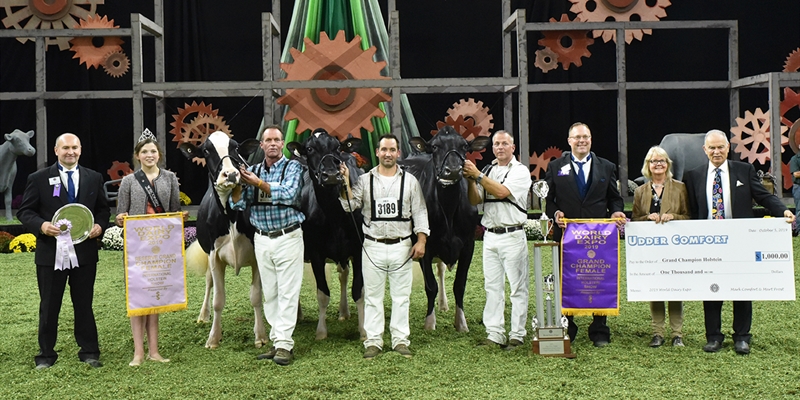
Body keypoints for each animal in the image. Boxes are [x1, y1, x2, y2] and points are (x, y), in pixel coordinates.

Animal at [181, 132, 268, 350]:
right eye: (205, 150)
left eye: (235, 147)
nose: (230, 174)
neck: (231, 216)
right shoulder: (214, 256)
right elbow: (218, 300)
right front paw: (213, 338)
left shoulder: (257, 255)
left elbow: (256, 297)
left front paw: (261, 336)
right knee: (209, 282)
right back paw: (203, 315)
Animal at [284, 129, 366, 340]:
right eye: (310, 149)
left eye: (337, 147)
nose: (330, 175)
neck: (335, 215)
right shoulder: (315, 253)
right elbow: (322, 293)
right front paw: (321, 332)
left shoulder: (358, 249)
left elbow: (358, 290)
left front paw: (364, 330)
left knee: (344, 275)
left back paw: (344, 312)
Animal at [398, 126, 488, 330]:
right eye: (434, 147)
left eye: (464, 146)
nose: (453, 171)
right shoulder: (425, 245)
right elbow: (430, 285)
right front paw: (429, 323)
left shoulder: (468, 245)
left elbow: (459, 285)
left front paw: (461, 323)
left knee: (440, 269)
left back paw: (443, 304)